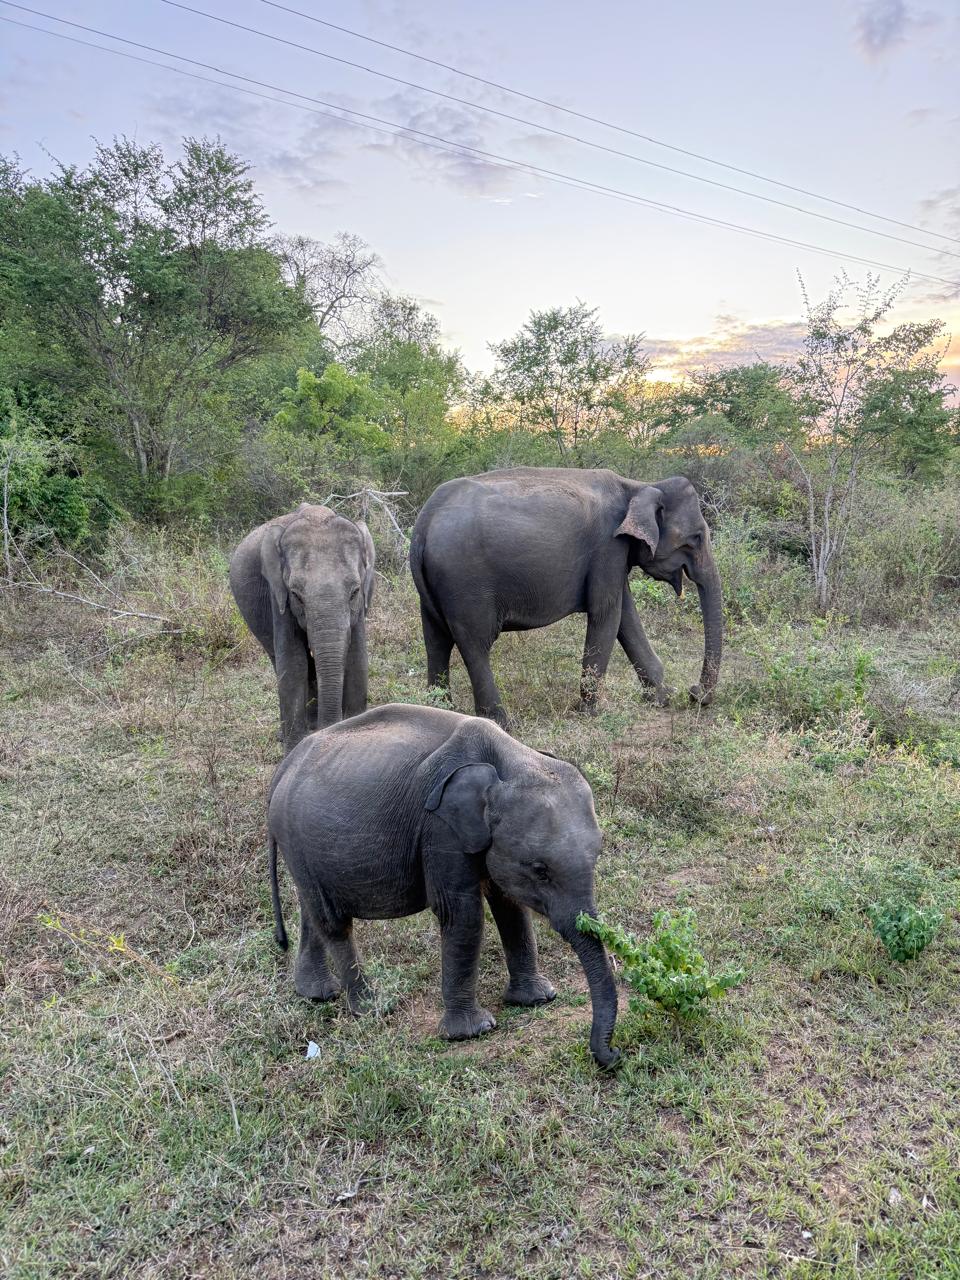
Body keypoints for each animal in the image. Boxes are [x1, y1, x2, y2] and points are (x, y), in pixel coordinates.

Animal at [230, 504, 375, 752]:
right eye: (296, 595)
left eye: (355, 592)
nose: (330, 729)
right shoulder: (277, 594)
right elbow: (293, 661)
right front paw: (295, 748)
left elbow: (357, 659)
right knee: (280, 659)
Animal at [267, 703, 620, 1067]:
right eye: (540, 870)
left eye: (597, 855)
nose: (613, 1055)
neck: (507, 760)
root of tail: (284, 767)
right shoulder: (439, 828)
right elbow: (461, 914)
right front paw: (472, 1032)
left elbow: (509, 905)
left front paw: (536, 999)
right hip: (296, 839)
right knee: (332, 921)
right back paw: (372, 1008)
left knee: (312, 912)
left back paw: (317, 994)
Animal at [409, 467, 722, 726]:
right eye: (696, 538)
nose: (694, 693)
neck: (640, 485)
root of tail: (422, 527)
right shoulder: (608, 547)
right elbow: (607, 614)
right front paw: (592, 712)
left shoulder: (614, 555)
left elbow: (625, 616)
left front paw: (661, 698)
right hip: (466, 583)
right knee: (475, 644)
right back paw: (502, 723)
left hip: (435, 588)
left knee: (436, 640)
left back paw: (440, 710)